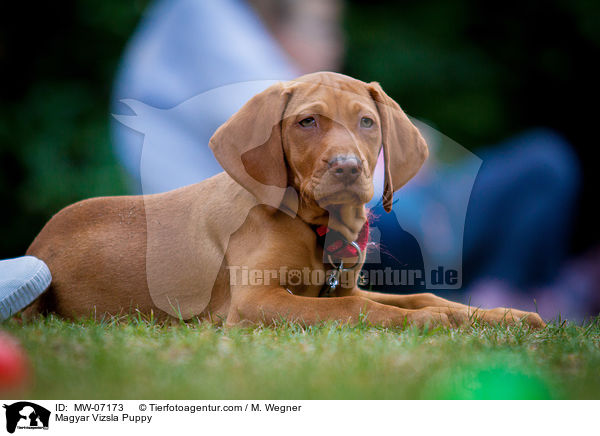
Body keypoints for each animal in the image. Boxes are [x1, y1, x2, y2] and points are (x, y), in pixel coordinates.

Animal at [23, 72, 544, 328]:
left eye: (367, 122)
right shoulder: (254, 302)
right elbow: (354, 312)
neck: (317, 226)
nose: (348, 167)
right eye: (307, 122)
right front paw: (436, 320)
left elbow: (417, 294)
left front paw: (500, 315)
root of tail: (39, 241)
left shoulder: (343, 286)